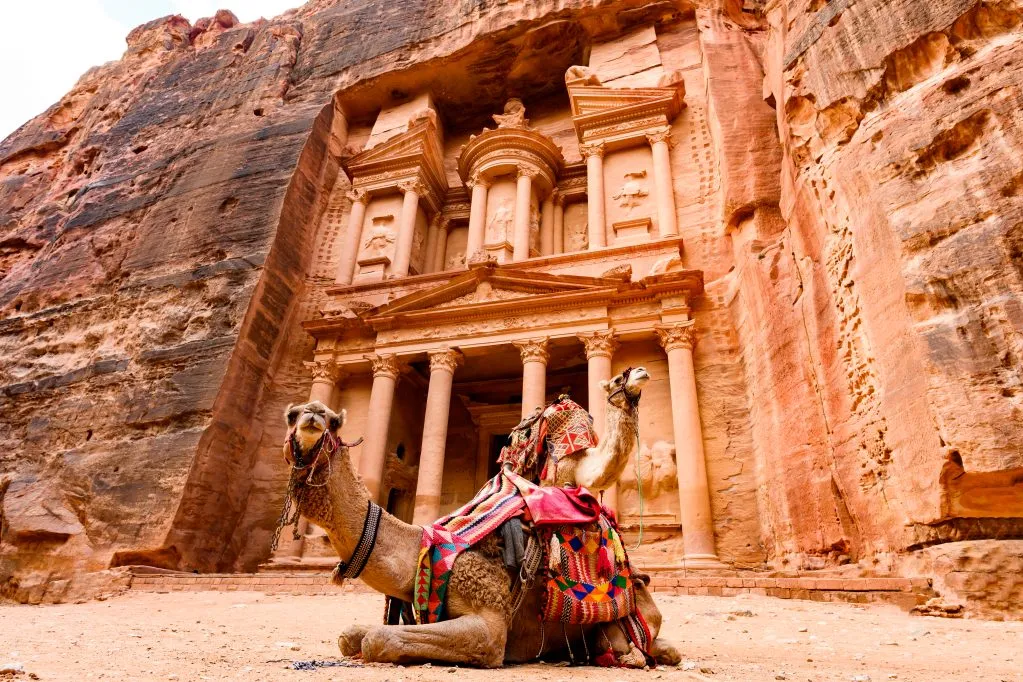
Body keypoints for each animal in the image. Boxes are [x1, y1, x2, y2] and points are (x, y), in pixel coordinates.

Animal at [280, 396, 679, 670]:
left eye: (334, 422)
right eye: (291, 414)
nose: (313, 414)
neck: (424, 550)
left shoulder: (490, 621)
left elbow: (379, 639)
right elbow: (349, 636)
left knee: (647, 644)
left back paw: (633, 653)